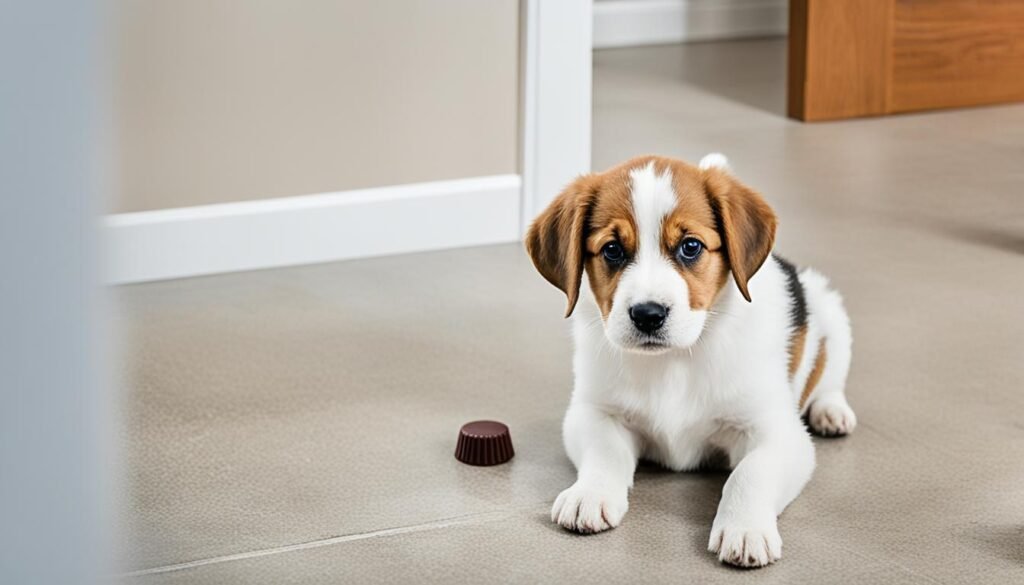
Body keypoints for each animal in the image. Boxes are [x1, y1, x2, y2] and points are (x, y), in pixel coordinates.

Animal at [524, 152, 851, 569]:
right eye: (612, 250)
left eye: (690, 246)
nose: (647, 315)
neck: (677, 358)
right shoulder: (593, 412)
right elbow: (605, 451)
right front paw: (590, 494)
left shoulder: (777, 432)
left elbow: (750, 473)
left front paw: (744, 528)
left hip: (830, 311)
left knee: (830, 379)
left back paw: (831, 411)